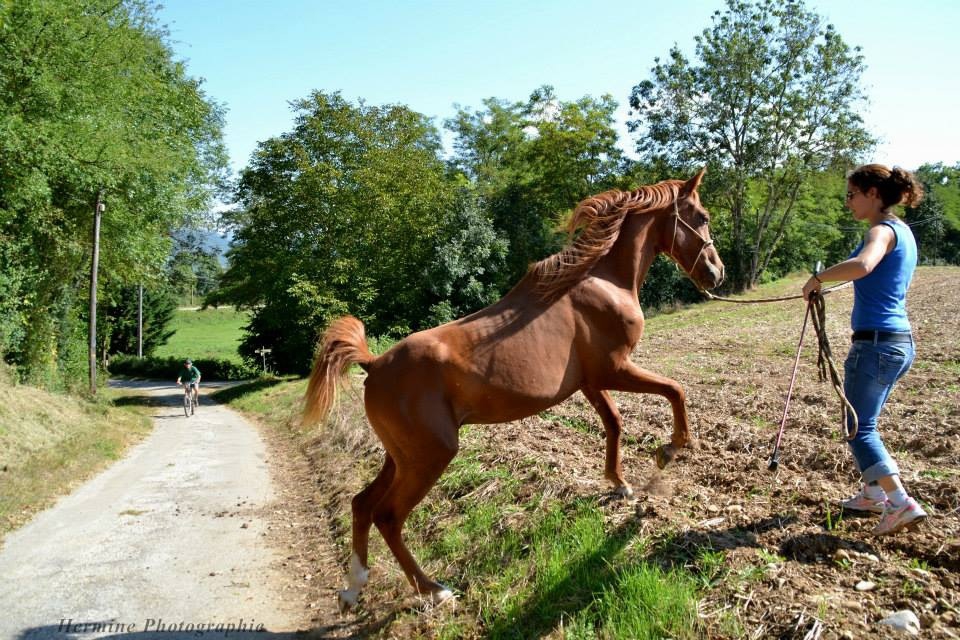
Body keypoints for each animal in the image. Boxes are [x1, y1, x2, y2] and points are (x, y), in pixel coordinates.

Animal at [303, 168, 724, 610]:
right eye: (702, 217)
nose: (717, 273)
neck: (604, 282)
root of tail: (374, 365)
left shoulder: (591, 382)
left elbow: (614, 422)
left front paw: (619, 483)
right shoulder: (615, 370)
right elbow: (675, 390)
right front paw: (669, 450)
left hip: (399, 457)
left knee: (361, 504)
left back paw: (354, 586)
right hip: (428, 458)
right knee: (388, 516)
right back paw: (434, 590)